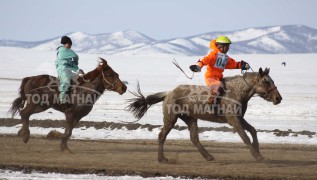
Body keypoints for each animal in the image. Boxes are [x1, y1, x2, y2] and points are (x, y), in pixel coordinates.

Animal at [126, 68, 282, 163]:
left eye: (272, 80)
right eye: (266, 81)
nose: (278, 98)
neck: (236, 92)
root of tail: (168, 93)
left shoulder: (239, 118)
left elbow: (253, 131)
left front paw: (259, 152)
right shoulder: (233, 120)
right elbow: (245, 136)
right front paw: (257, 155)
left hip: (191, 119)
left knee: (194, 138)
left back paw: (208, 156)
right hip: (171, 118)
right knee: (162, 135)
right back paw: (162, 158)